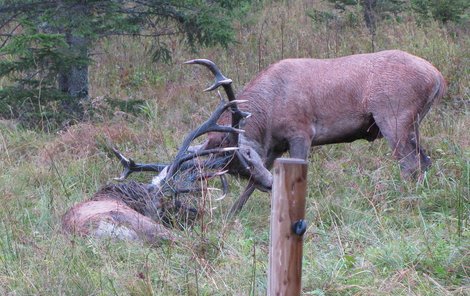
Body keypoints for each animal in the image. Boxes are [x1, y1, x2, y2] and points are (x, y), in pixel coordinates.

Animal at [112, 50, 446, 217]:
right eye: (237, 169)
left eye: (242, 158)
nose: (268, 185)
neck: (267, 113)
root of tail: (438, 77)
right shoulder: (274, 146)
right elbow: (249, 190)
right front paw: (232, 216)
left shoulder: (301, 131)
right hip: (413, 123)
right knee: (425, 161)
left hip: (393, 115)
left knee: (409, 163)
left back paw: (405, 200)